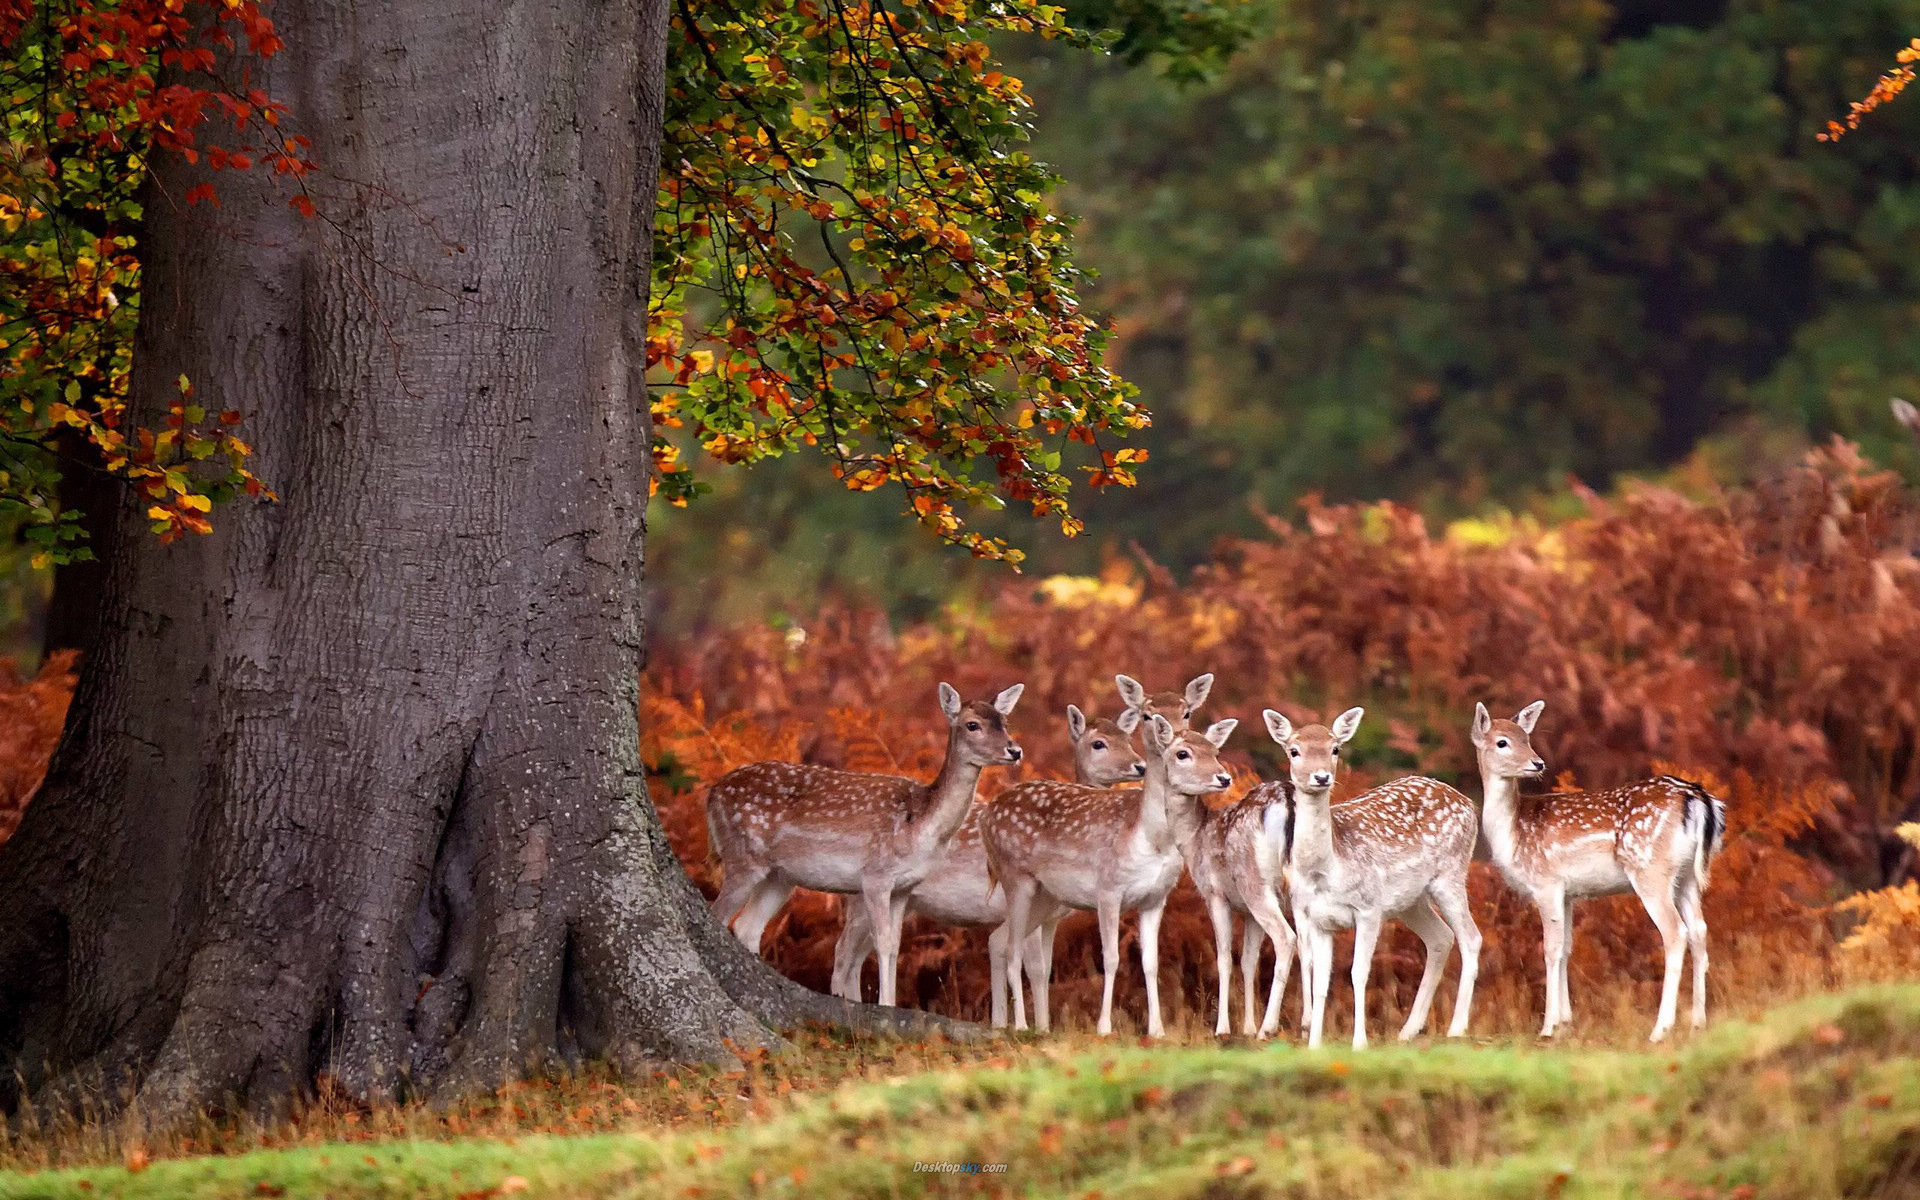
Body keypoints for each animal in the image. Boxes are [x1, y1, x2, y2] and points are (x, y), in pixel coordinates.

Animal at [705, 681, 1024, 1007]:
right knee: (719, 914)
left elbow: (894, 945)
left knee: (747, 926)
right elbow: (882, 942)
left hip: (780, 877)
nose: (1014, 750)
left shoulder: (904, 887)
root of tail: (713, 793)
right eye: (972, 725)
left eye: (1004, 722)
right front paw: (885, 1004)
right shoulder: (875, 875)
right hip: (742, 856)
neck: (921, 826)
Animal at [827, 703, 1146, 1025]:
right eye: (1099, 743)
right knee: (843, 953)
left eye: (1128, 739)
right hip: (863, 895)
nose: (1140, 766)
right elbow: (1035, 967)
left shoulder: (1051, 917)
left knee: (857, 956)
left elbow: (1039, 966)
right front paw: (1034, 1027)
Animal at [984, 711, 1238, 1037]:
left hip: (1047, 896)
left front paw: (1157, 1030)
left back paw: (1015, 1025)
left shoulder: (1155, 898)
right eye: (1183, 753)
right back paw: (1020, 1025)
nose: (1223, 777)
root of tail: (987, 815)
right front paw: (1104, 1027)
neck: (1151, 840)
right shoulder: (1108, 889)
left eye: (1216, 752)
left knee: (999, 940)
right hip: (1016, 877)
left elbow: (1151, 962)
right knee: (1013, 948)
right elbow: (1112, 958)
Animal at [1265, 706, 1482, 1049]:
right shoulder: (1317, 918)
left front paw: (1359, 1043)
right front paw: (1314, 1044)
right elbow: (1320, 979)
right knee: (1441, 937)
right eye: (1294, 750)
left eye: (1335, 748)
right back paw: (1408, 1030)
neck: (1326, 870)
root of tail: (1470, 804)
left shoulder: (1367, 908)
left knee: (1471, 937)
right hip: (1410, 901)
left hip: (1450, 874)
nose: (1321, 776)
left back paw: (1456, 1028)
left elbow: (1358, 972)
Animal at [1471, 701, 1727, 1042]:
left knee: (1675, 933)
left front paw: (1548, 1027)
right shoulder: (1567, 893)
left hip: (1649, 868)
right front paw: (1566, 1022)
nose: (1538, 763)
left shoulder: (1546, 882)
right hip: (1685, 876)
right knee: (1699, 930)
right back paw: (1698, 1022)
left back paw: (1660, 1029)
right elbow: (1566, 948)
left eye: (1526, 738)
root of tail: (1698, 799)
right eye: (1503, 741)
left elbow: (1550, 949)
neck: (1513, 833)